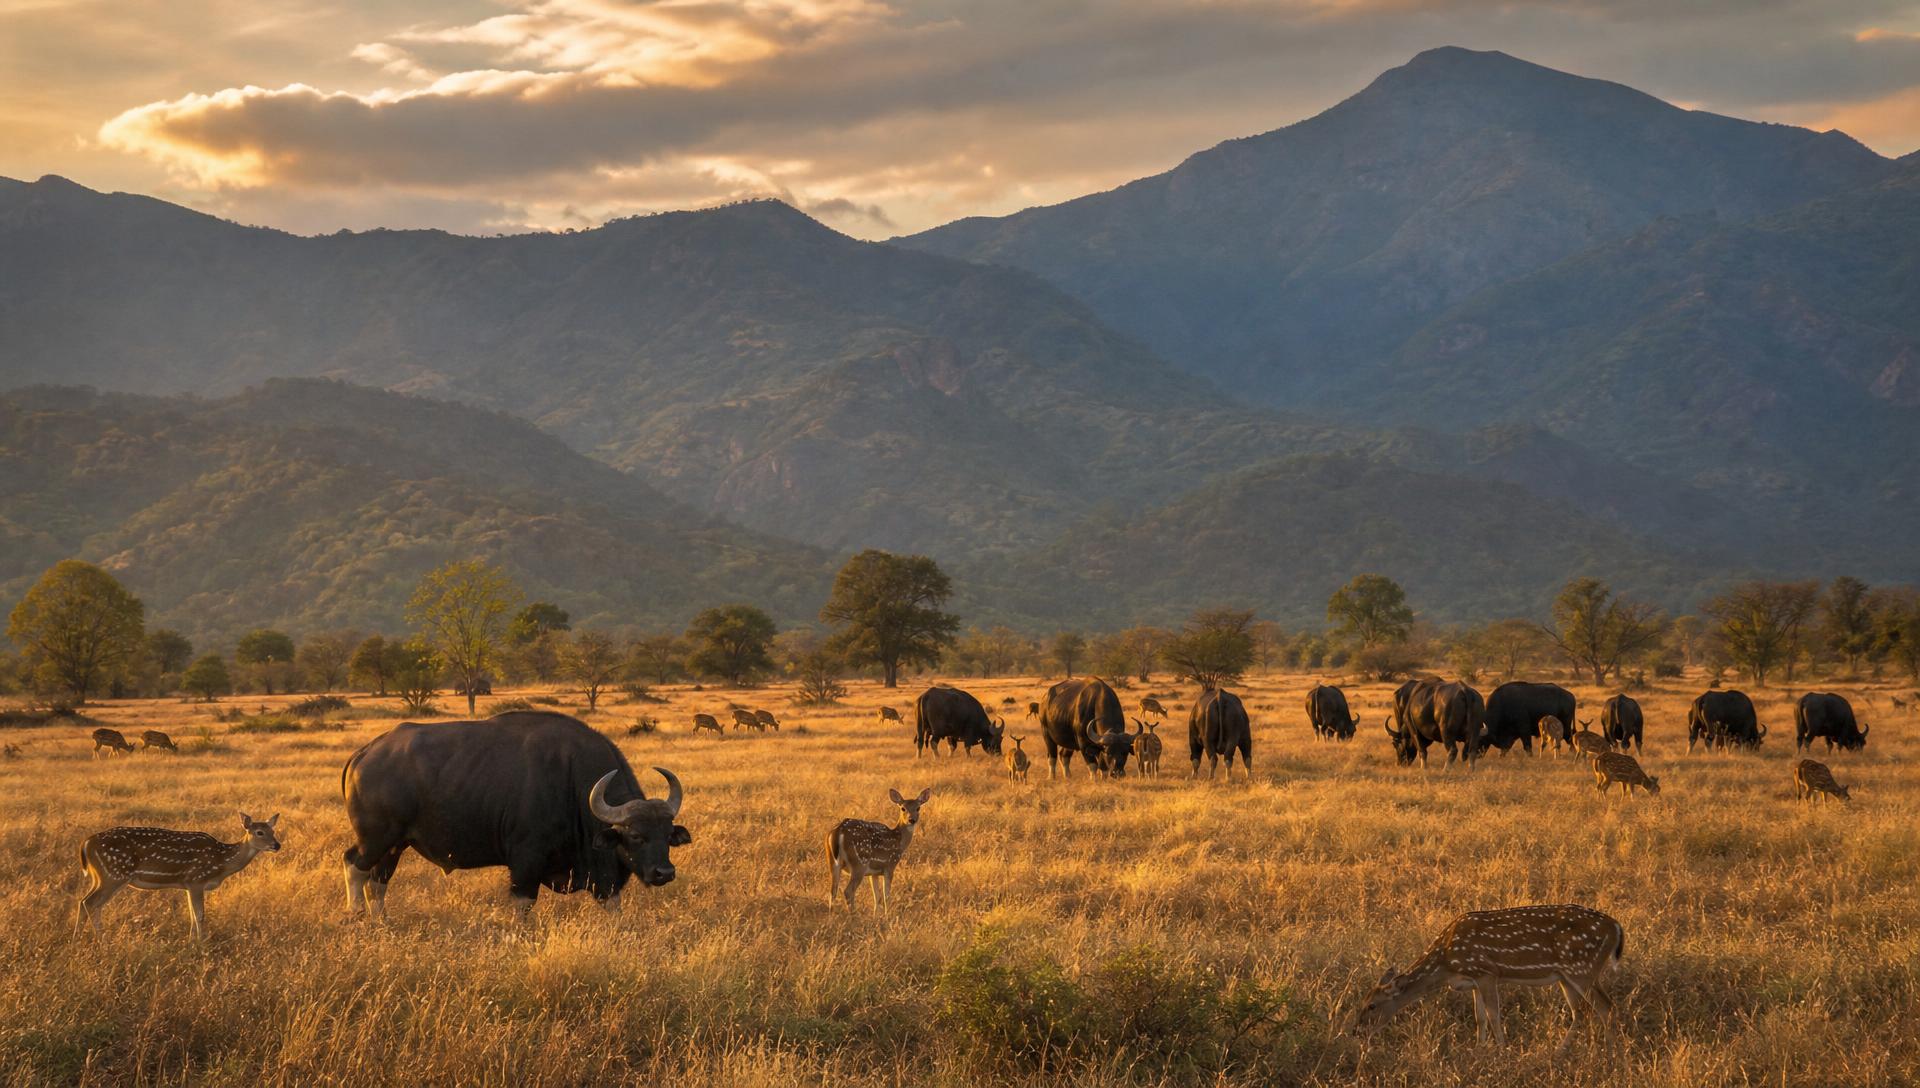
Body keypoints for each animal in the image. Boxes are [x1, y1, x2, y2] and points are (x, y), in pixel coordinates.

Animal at [77, 813, 283, 940]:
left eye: (273, 831)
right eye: (259, 832)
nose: (277, 845)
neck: (221, 861)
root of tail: (86, 843)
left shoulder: (187, 884)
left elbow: (192, 914)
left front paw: (191, 941)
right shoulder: (196, 879)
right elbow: (199, 915)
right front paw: (201, 944)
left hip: (101, 876)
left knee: (90, 903)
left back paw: (99, 939)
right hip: (114, 874)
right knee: (89, 902)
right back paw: (83, 939)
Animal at [1354, 904, 1624, 1050]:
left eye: (1372, 1006)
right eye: (1362, 1002)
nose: (1357, 1032)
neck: (1446, 963)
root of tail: (1617, 927)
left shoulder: (1487, 972)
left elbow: (1494, 1014)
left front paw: (1501, 1049)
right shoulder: (1473, 981)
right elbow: (1480, 1017)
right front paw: (1479, 1048)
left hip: (1582, 968)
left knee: (1605, 1007)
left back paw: (1608, 1053)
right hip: (1566, 976)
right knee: (1581, 1012)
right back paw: (1559, 1053)